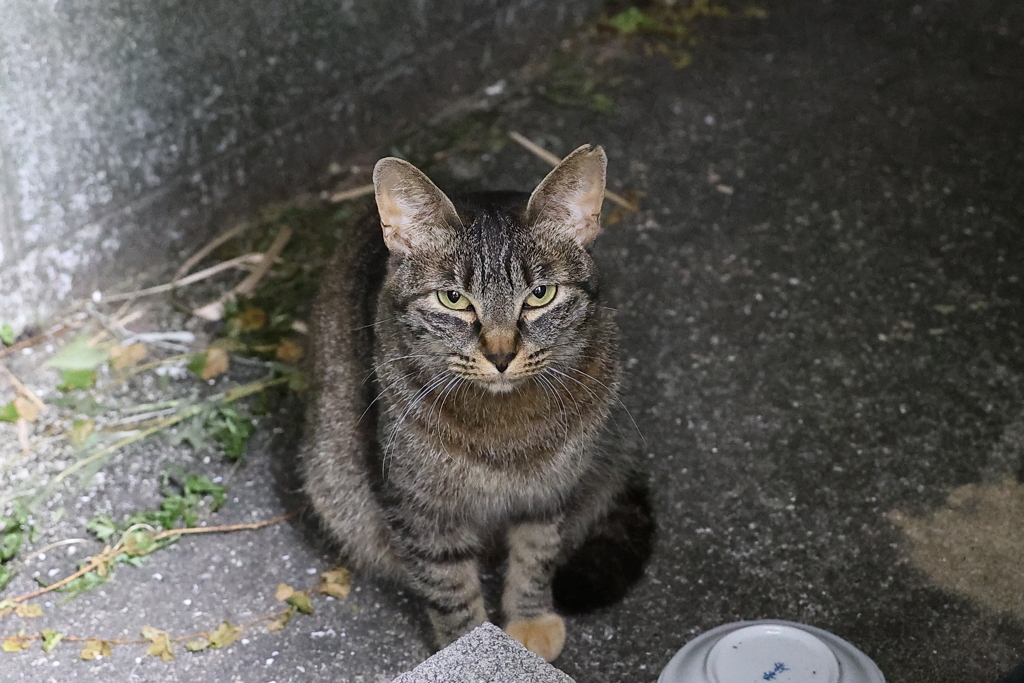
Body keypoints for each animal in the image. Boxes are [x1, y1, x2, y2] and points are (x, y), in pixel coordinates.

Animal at [299, 144, 634, 663]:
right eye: (453, 299)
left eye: (541, 294)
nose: (500, 356)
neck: (507, 425)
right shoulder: (420, 508)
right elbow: (449, 586)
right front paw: (473, 643)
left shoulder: (551, 491)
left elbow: (537, 552)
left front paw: (529, 619)